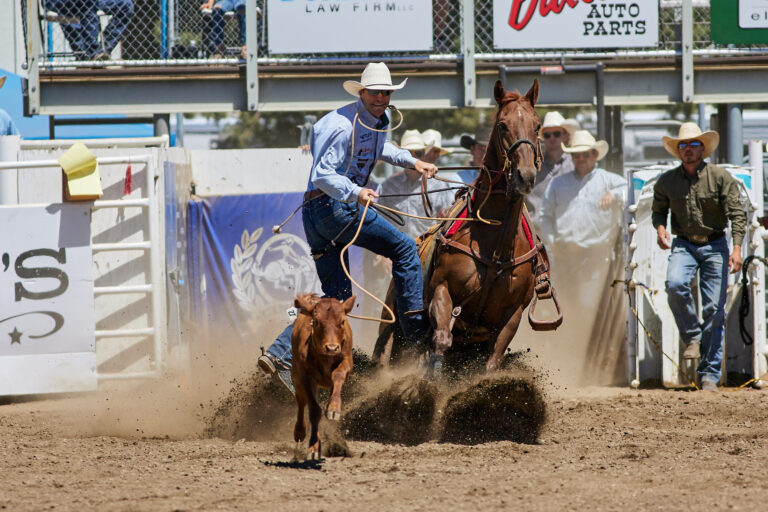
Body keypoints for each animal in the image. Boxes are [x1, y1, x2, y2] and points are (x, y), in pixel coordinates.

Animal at [292, 294, 356, 458]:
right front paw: (314, 448)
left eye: (342, 322)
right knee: (301, 402)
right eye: (316, 322)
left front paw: (334, 408)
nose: (332, 348)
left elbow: (338, 375)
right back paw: (300, 432)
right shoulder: (304, 376)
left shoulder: (347, 360)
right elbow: (314, 411)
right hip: (296, 377)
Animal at [376, 81, 556, 376]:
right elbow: (440, 341)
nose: (525, 176)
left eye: (537, 125)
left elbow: (493, 361)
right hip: (392, 326)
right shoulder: (443, 291)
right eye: (502, 125)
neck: (495, 249)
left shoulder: (513, 314)